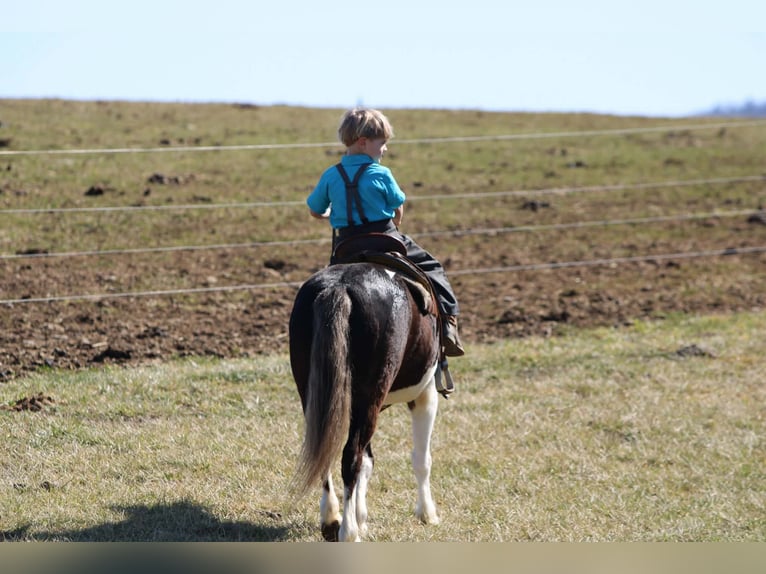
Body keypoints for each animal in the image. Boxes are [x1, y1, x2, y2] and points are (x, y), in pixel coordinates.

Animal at [288, 244, 444, 542]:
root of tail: (339, 288)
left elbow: (368, 463)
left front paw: (361, 516)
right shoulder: (425, 395)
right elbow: (422, 459)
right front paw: (427, 513)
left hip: (318, 397)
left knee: (328, 450)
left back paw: (332, 519)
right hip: (370, 399)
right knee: (350, 457)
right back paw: (348, 532)